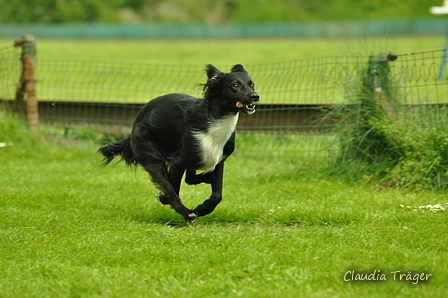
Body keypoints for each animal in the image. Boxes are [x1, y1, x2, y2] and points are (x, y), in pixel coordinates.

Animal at [98, 64, 260, 221]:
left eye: (252, 85)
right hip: (151, 153)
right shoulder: (178, 161)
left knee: (190, 178)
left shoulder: (218, 159)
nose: (255, 96)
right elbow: (172, 189)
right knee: (170, 182)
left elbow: (217, 195)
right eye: (235, 85)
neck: (215, 121)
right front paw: (175, 203)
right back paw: (187, 213)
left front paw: (203, 208)